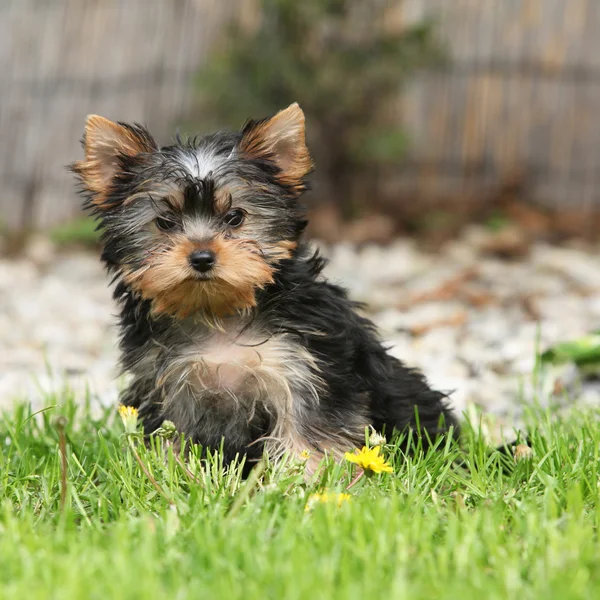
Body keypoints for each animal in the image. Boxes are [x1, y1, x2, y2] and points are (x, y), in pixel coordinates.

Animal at [71, 103, 454, 472]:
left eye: (236, 217)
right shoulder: (164, 382)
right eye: (164, 222)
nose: (202, 257)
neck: (217, 310)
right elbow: (170, 436)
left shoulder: (305, 369)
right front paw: (172, 476)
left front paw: (305, 482)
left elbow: (310, 435)